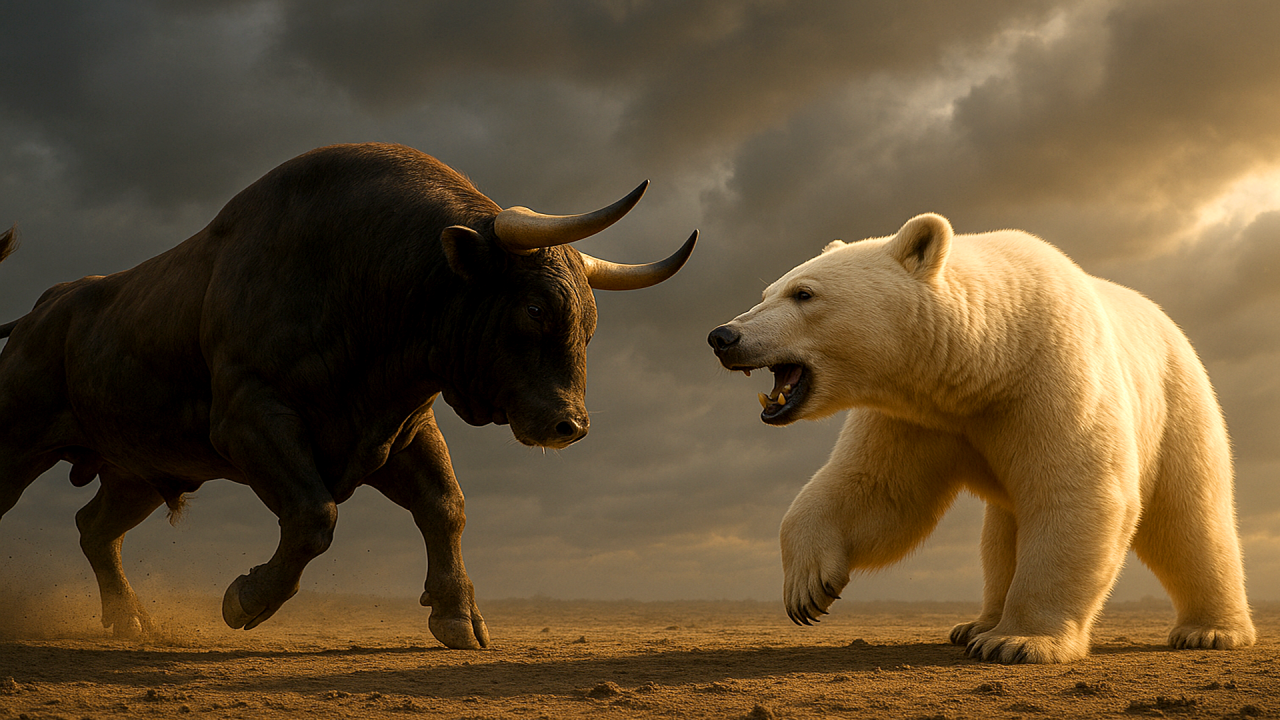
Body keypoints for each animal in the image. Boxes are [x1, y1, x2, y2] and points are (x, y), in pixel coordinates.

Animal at [0, 142, 696, 649]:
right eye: (533, 308)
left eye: (590, 324)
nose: (568, 424)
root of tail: (41, 310)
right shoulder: (252, 417)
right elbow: (314, 516)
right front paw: (246, 598)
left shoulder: (402, 429)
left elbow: (446, 508)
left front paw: (456, 616)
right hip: (23, 444)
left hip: (140, 471)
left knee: (95, 530)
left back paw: (129, 621)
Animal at [707, 213, 1256, 663]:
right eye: (766, 293)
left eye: (804, 293)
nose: (723, 336)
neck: (990, 356)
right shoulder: (920, 416)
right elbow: (876, 491)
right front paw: (807, 587)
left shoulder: (1053, 377)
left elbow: (1077, 494)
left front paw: (1019, 641)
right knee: (1000, 536)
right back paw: (976, 622)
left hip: (1177, 401)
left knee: (1189, 517)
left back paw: (1211, 631)